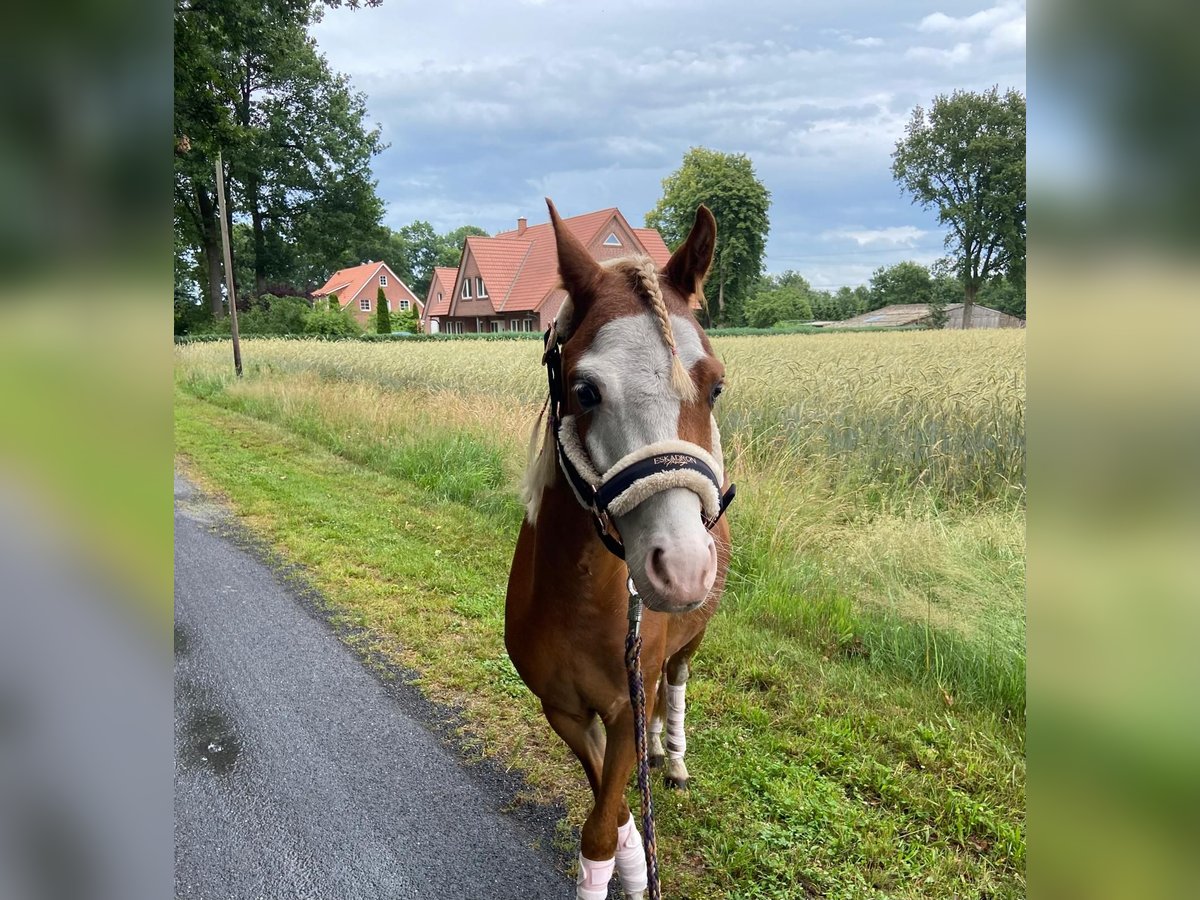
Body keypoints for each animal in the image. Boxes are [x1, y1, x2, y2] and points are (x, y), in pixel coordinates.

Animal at [506, 202, 729, 900]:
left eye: (714, 386)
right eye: (584, 391)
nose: (681, 567)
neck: (581, 601)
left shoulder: (624, 703)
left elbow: (603, 825)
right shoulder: (563, 711)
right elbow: (618, 808)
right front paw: (635, 866)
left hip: (690, 640)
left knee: (674, 681)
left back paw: (673, 756)